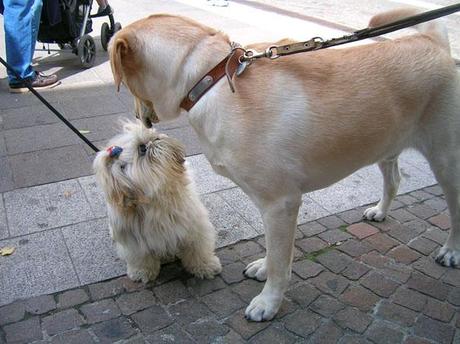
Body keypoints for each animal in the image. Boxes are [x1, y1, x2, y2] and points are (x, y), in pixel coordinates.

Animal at [93, 120, 221, 282]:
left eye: (152, 133)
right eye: (142, 148)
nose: (155, 137)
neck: (156, 203)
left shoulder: (194, 227)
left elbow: (197, 249)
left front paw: (205, 266)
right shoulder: (135, 241)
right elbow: (141, 257)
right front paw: (142, 272)